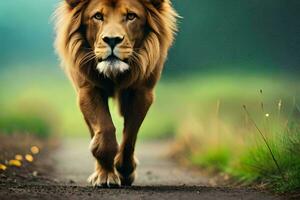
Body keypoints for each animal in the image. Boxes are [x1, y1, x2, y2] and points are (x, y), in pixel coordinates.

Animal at [54, 0, 178, 188]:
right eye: (98, 16)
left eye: (131, 16)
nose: (112, 40)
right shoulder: (88, 89)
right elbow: (105, 130)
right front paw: (105, 175)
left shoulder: (142, 92)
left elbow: (130, 136)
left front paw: (125, 170)